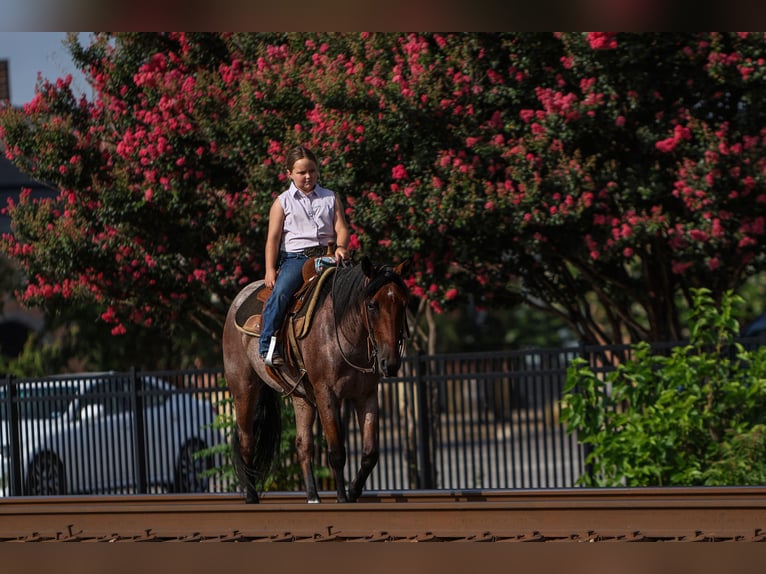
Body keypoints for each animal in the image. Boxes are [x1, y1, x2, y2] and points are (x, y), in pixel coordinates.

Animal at [225, 256, 412, 504]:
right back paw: (251, 497)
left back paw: (313, 496)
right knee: (247, 442)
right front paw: (342, 497)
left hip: (301, 397)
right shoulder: (326, 394)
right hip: (243, 388)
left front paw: (354, 491)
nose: (390, 363)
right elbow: (337, 451)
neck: (342, 330)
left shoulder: (366, 395)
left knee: (303, 444)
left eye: (403, 304)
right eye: (372, 305)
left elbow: (370, 453)